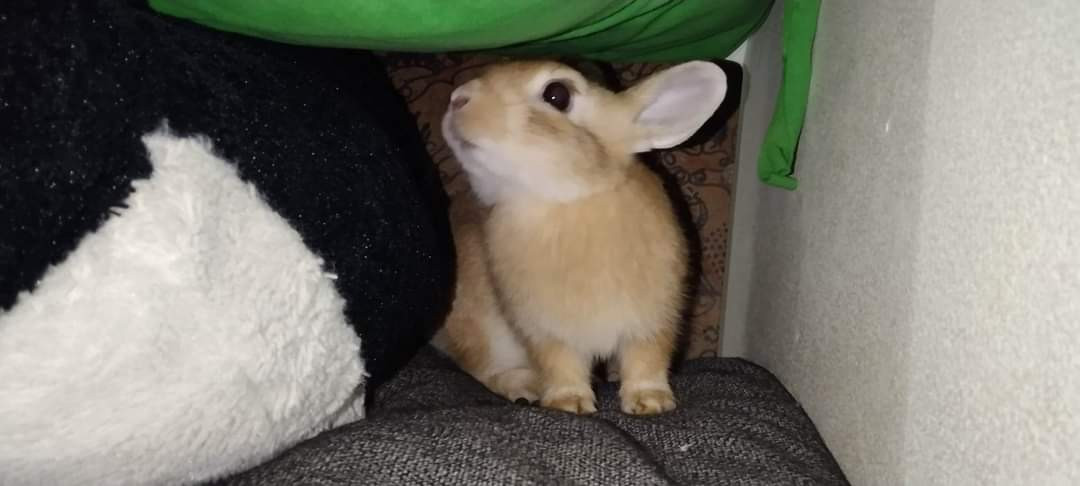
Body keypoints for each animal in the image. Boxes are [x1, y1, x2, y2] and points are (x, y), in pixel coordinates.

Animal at [434, 60, 727, 415]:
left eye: (557, 95)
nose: (458, 98)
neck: (567, 200)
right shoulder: (544, 331)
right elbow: (561, 365)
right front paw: (569, 404)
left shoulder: (653, 319)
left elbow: (646, 360)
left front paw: (650, 402)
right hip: (484, 332)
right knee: (484, 368)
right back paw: (523, 388)